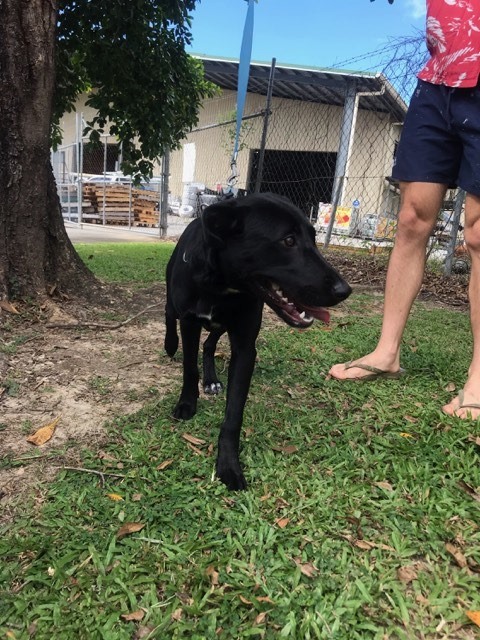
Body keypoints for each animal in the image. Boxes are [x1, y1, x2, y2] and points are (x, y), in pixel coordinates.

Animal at [164, 193, 351, 490]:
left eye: (313, 238)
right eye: (288, 240)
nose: (344, 290)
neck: (222, 286)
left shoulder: (244, 344)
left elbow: (234, 413)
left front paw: (228, 465)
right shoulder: (190, 322)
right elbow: (189, 368)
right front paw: (186, 404)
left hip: (223, 325)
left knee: (210, 344)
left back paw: (211, 379)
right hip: (174, 299)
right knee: (169, 315)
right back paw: (170, 345)